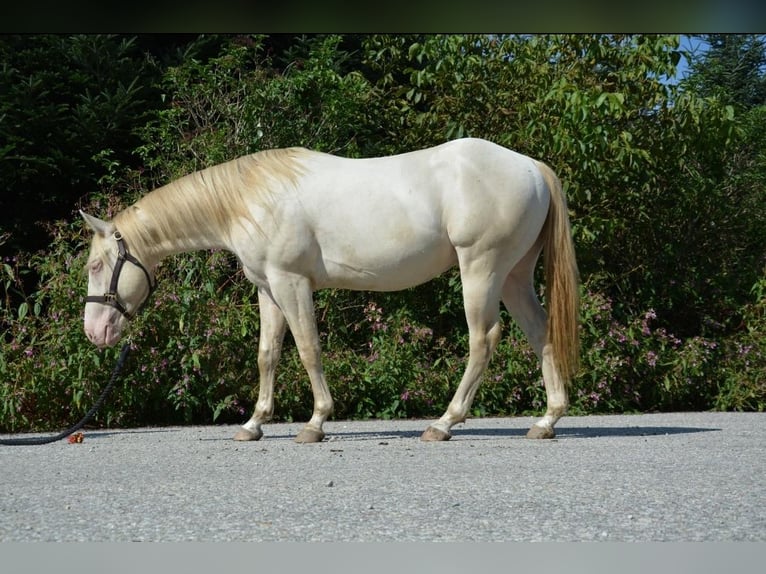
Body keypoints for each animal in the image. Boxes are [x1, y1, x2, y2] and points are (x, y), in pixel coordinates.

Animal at [81, 140, 580, 446]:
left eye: (96, 265)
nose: (94, 332)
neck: (251, 198)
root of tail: (531, 167)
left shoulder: (291, 283)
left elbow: (307, 349)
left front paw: (316, 422)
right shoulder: (267, 289)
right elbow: (268, 355)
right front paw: (254, 424)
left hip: (481, 269)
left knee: (483, 340)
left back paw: (444, 423)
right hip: (514, 276)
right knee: (541, 335)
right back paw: (546, 421)